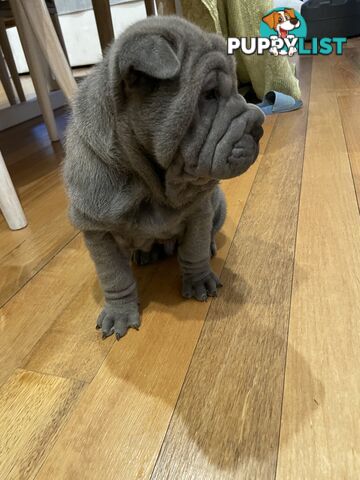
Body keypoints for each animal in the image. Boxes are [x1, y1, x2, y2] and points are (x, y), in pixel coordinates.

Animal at [63, 14, 264, 338]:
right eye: (208, 95)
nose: (259, 124)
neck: (149, 182)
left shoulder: (198, 210)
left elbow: (193, 249)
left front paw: (199, 282)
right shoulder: (96, 229)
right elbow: (114, 276)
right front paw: (119, 314)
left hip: (218, 204)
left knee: (207, 235)